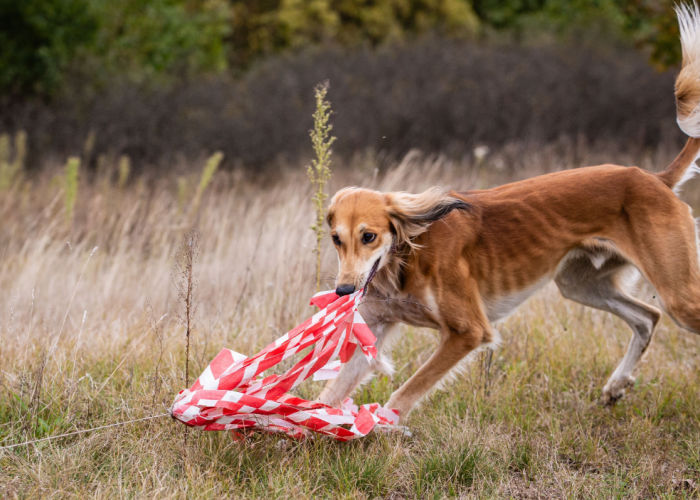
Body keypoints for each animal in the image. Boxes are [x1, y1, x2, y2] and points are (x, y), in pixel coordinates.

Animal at [318, 4, 700, 422]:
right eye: (336, 240)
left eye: (369, 236)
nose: (343, 291)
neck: (406, 257)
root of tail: (654, 179)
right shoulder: (378, 325)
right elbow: (330, 394)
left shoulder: (469, 331)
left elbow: (406, 391)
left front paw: (383, 425)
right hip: (581, 282)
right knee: (648, 317)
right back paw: (616, 385)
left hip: (677, 293)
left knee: (659, 314)